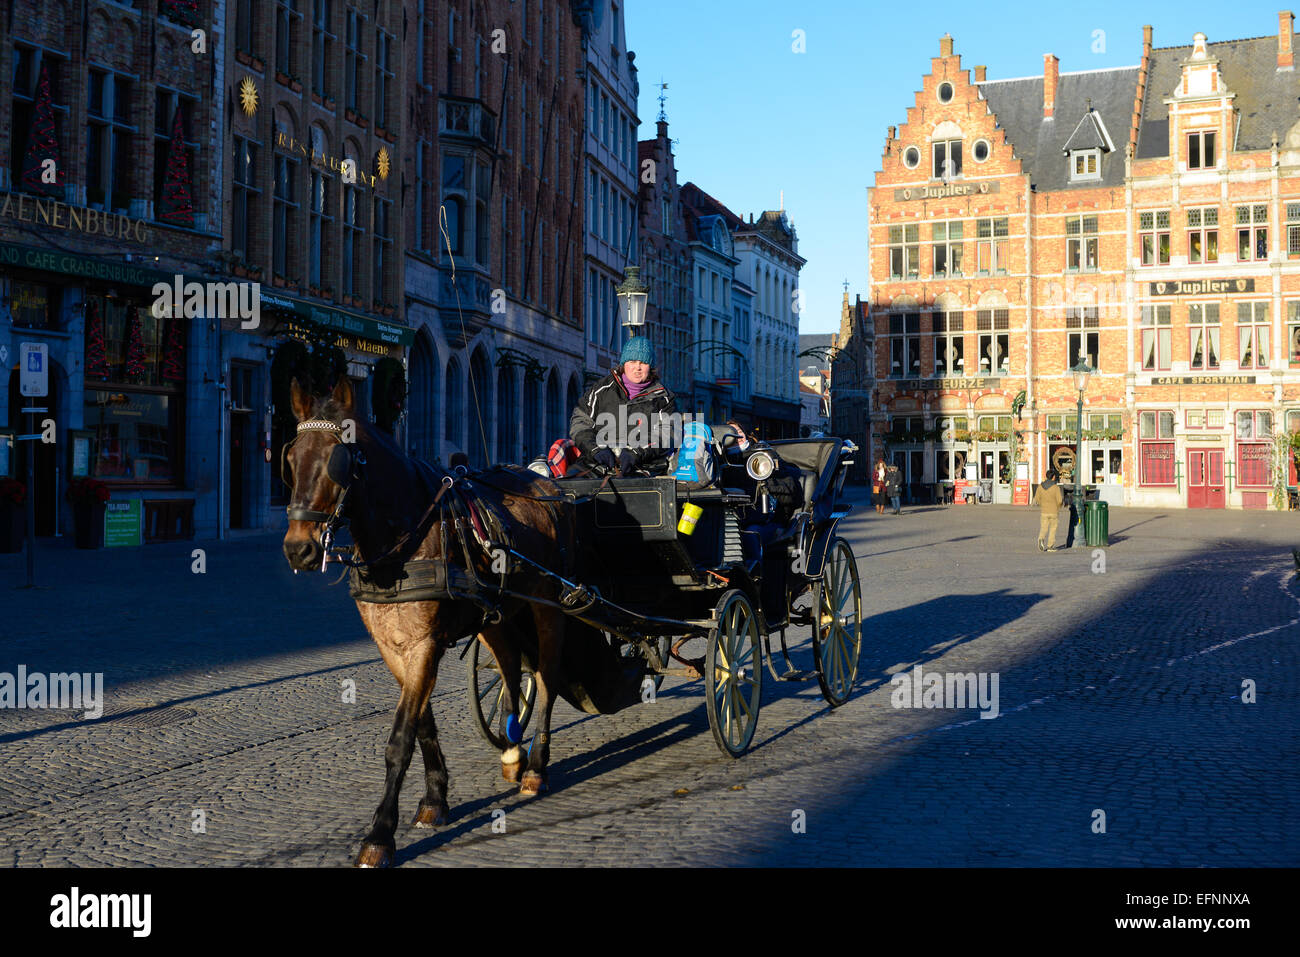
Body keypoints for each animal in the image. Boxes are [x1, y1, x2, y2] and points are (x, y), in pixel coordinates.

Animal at [282, 374, 572, 868]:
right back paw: (513, 751)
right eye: (290, 460)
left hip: (547, 607)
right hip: (495, 616)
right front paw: (435, 800)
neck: (401, 542)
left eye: (337, 462)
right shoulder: (393, 647)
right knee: (512, 669)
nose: (298, 549)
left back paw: (536, 767)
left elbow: (400, 738)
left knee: (547, 679)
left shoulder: (425, 644)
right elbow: (423, 725)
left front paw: (380, 834)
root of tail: (546, 487)